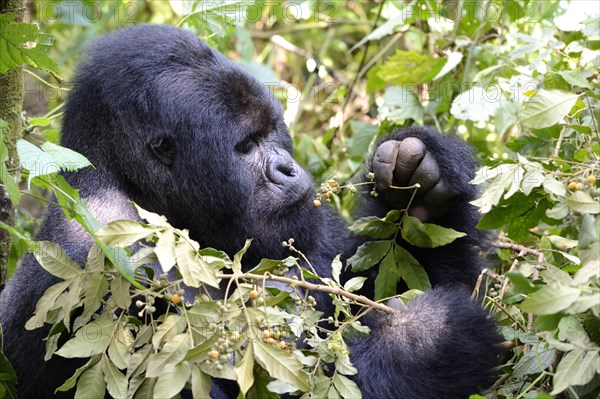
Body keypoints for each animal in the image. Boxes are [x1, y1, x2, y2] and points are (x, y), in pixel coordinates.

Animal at [0, 25, 496, 399]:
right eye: (244, 146)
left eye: (271, 130)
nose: (287, 169)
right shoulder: (110, 261)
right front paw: (431, 338)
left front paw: (422, 186)